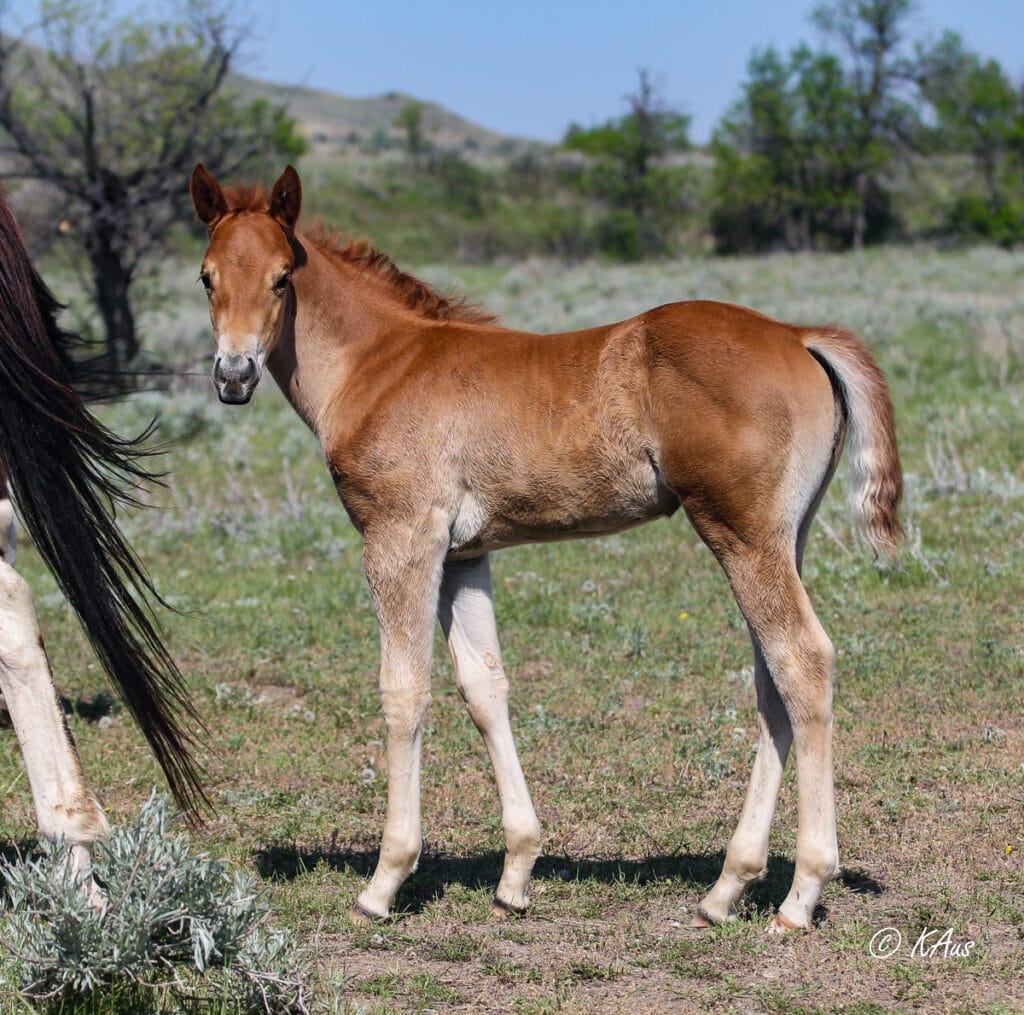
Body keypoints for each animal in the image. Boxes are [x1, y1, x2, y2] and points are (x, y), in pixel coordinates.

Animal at [190, 163, 902, 933]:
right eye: (206, 277)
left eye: (282, 277)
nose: (233, 376)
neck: (378, 364)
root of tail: (798, 335)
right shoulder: (464, 556)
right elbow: (485, 687)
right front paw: (517, 872)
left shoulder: (401, 539)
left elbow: (404, 691)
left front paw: (384, 880)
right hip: (778, 538)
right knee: (774, 679)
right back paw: (726, 889)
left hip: (740, 533)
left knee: (802, 660)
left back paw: (801, 894)